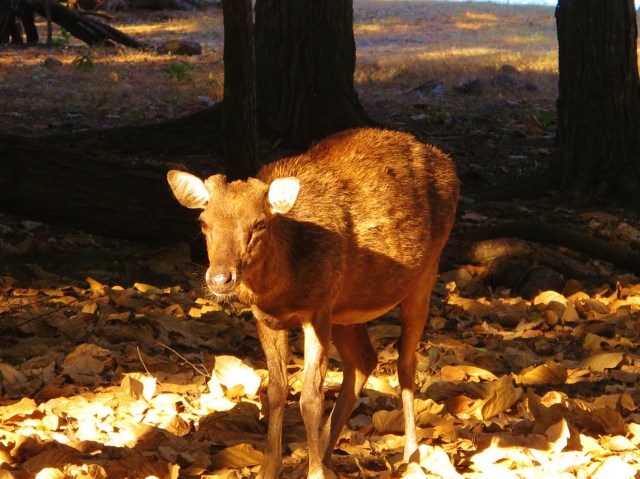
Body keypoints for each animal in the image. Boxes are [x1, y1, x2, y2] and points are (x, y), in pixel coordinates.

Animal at [167, 127, 459, 479]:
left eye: (259, 223)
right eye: (204, 222)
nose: (220, 278)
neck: (282, 288)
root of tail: (447, 161)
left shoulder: (318, 310)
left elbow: (310, 399)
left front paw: (314, 472)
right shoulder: (267, 317)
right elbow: (276, 391)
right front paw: (271, 468)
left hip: (426, 272)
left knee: (405, 362)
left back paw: (410, 454)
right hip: (347, 309)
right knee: (364, 361)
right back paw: (326, 455)